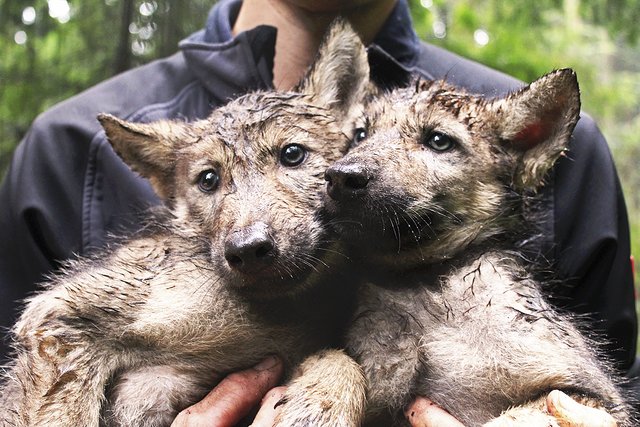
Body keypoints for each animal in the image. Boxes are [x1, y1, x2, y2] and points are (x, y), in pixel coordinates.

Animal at [324, 70, 636, 425]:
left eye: (439, 140)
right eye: (360, 134)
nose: (340, 177)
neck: (425, 283)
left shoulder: (591, 394)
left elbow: (517, 417)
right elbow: (336, 362)